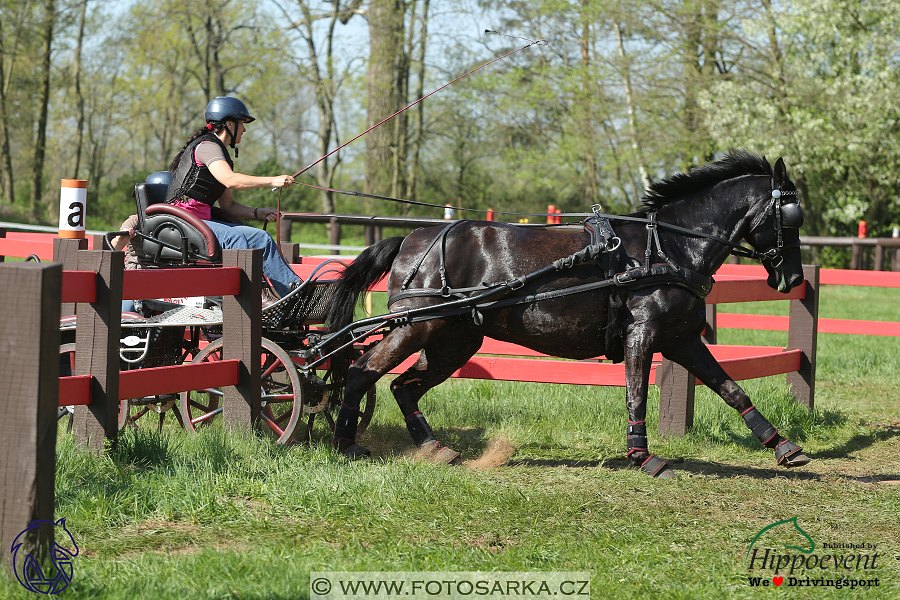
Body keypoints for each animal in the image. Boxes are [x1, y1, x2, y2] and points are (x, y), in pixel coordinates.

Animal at [326, 151, 812, 478]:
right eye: (790, 216)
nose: (792, 277)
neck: (668, 247)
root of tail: (411, 238)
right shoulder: (643, 334)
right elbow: (637, 393)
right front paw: (643, 456)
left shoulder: (682, 339)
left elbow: (731, 388)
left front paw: (783, 446)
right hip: (418, 325)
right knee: (363, 370)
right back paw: (346, 443)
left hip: (454, 339)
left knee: (404, 386)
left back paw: (433, 448)